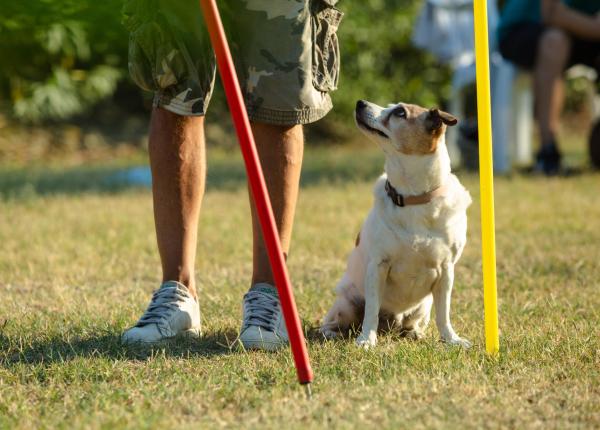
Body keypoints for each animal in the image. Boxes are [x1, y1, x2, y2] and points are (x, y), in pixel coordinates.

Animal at [322, 99, 472, 348]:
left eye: (400, 112)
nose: (360, 103)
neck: (412, 198)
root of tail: (390, 324)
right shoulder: (378, 266)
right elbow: (371, 310)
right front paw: (367, 340)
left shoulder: (446, 269)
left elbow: (444, 313)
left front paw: (451, 339)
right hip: (346, 302)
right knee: (336, 321)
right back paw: (332, 333)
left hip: (423, 306)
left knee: (414, 322)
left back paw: (413, 333)